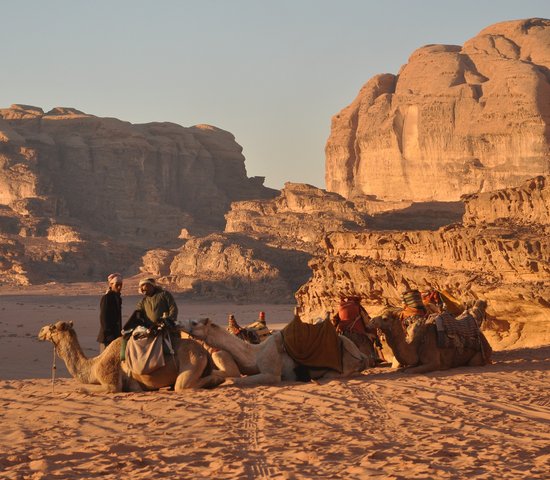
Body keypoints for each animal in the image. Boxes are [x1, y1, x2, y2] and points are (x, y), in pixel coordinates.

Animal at [37, 320, 225, 392]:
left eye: (52, 328)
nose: (40, 332)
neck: (94, 365)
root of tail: (204, 352)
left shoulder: (111, 382)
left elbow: (84, 388)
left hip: (191, 361)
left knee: (183, 385)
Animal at [183, 314, 368, 388]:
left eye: (194, 323)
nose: (178, 323)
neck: (255, 353)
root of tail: (361, 354)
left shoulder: (272, 374)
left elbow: (238, 380)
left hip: (345, 363)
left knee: (334, 374)